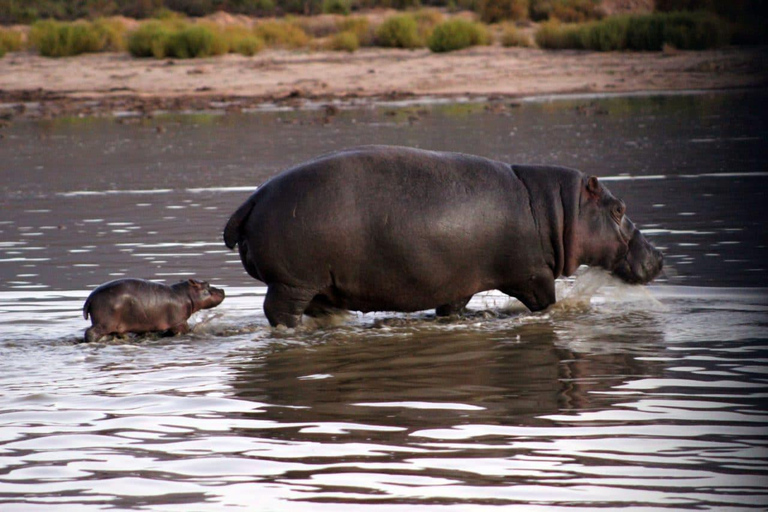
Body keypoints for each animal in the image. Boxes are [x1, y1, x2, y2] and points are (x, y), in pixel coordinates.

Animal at [83, 278, 225, 342]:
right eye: (207, 284)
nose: (222, 290)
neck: (185, 294)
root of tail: (90, 298)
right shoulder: (179, 322)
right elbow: (186, 330)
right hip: (103, 323)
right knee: (90, 333)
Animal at [220, 144, 660, 328]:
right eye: (619, 209)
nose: (658, 257)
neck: (559, 208)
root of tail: (253, 199)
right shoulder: (533, 276)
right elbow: (546, 304)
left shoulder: (458, 282)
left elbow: (453, 308)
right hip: (292, 282)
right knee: (278, 312)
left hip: (314, 285)